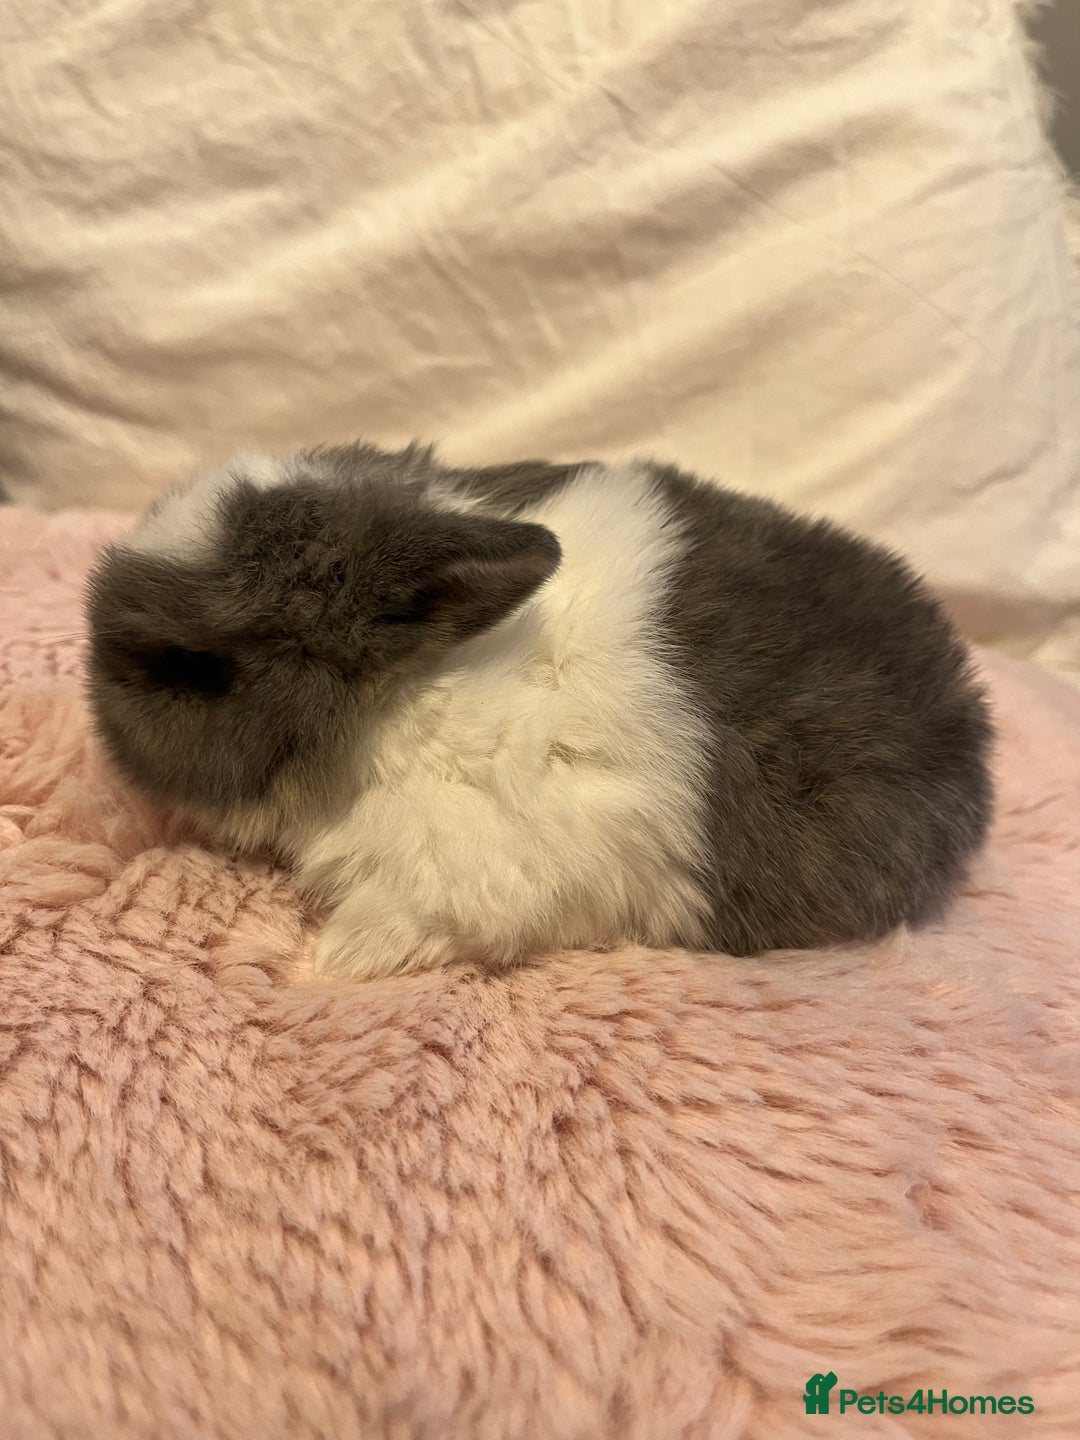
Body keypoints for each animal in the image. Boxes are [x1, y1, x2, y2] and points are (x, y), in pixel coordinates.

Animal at [85, 441, 993, 981]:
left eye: (192, 666)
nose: (99, 729)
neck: (400, 697)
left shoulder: (458, 869)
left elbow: (392, 929)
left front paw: (319, 969)